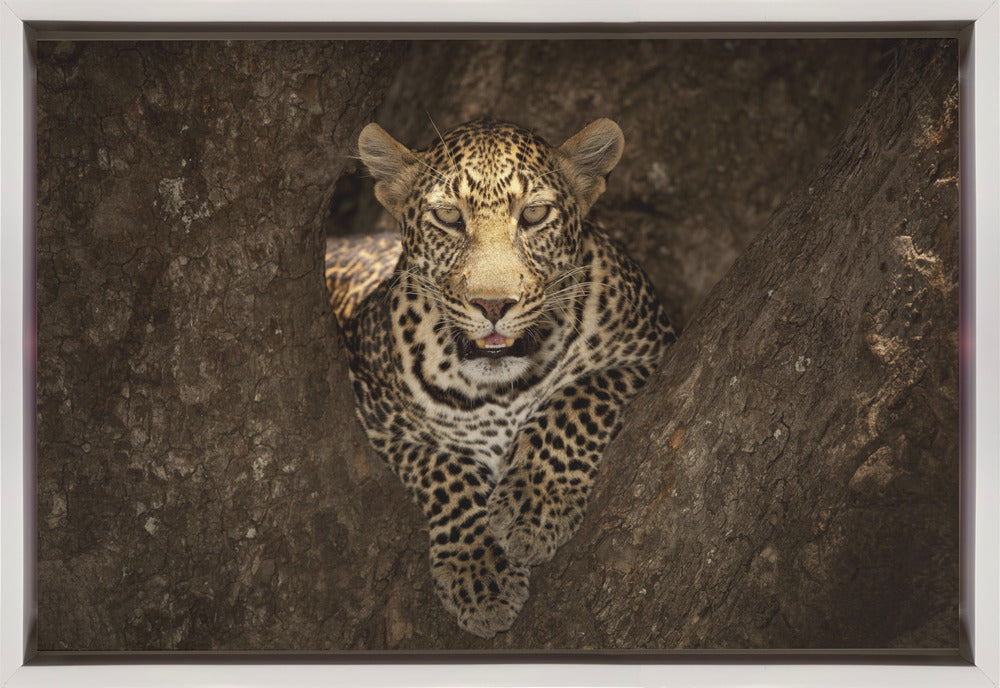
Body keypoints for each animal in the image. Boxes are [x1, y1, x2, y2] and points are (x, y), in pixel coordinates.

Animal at [327, 117, 676, 639]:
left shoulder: (653, 349)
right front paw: (480, 573)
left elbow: (576, 398)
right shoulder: (377, 414)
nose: (493, 305)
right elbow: (444, 469)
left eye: (534, 214)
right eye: (449, 217)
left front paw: (534, 505)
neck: (499, 392)